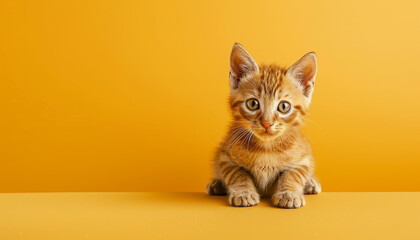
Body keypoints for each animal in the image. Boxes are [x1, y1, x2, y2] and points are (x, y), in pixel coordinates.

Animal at [207, 43, 322, 208]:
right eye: (253, 104)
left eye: (284, 106)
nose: (267, 123)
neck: (266, 148)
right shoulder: (224, 156)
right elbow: (237, 174)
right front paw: (244, 193)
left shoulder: (303, 159)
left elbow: (293, 175)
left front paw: (289, 194)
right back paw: (217, 184)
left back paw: (311, 183)